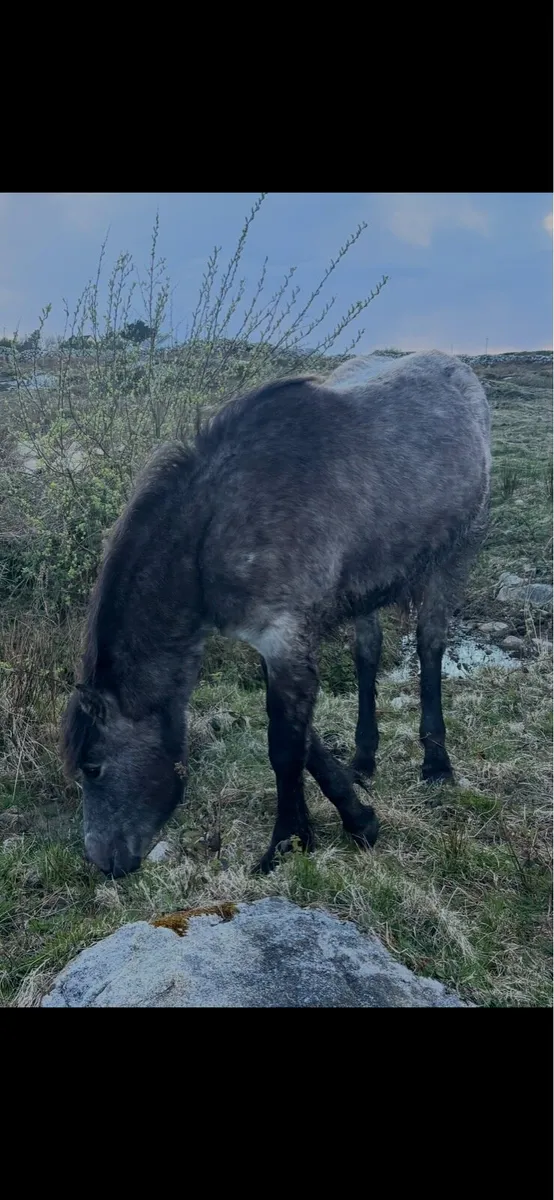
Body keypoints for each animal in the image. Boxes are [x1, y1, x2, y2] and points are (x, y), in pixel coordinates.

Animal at [61, 351, 491, 877]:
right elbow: (308, 744)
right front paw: (359, 819)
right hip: (368, 590)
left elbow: (286, 747)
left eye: (93, 766)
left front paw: (287, 842)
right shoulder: (277, 645)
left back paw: (436, 764)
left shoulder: (285, 637)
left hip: (458, 553)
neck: (215, 527)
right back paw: (364, 759)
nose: (103, 862)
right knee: (368, 653)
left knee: (430, 646)